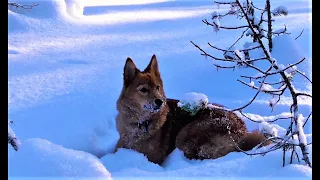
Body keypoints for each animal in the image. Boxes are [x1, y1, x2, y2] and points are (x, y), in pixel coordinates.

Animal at [115, 54, 270, 165]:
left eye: (157, 88)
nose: (160, 101)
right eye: (143, 90)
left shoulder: (153, 156)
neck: (139, 122)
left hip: (185, 133)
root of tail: (242, 131)